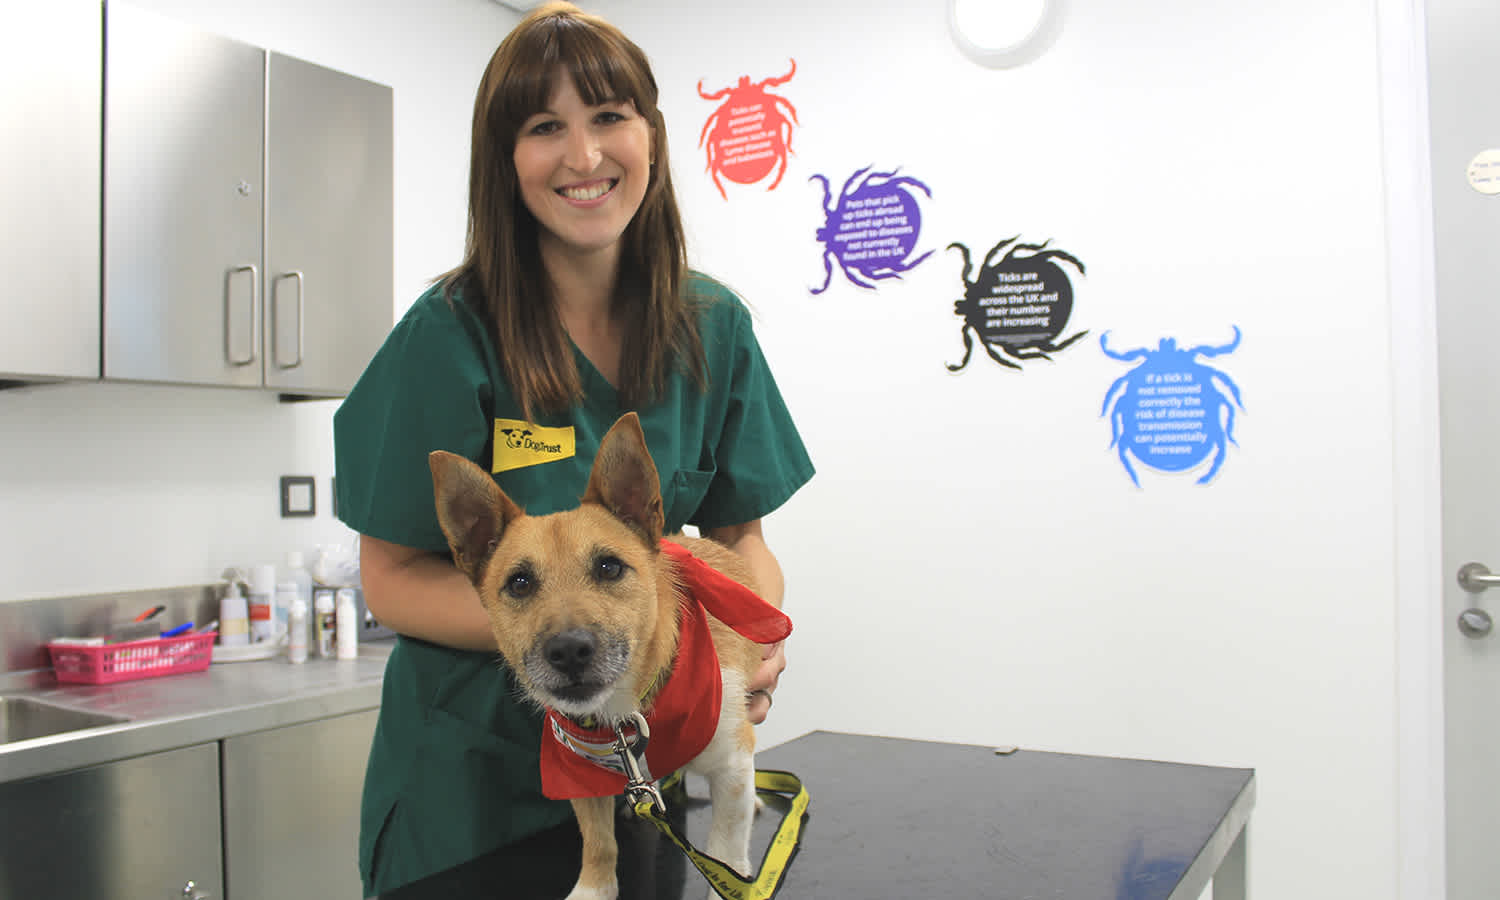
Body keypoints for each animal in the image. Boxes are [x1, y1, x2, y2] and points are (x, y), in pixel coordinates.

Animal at [432, 414, 792, 900]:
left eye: (609, 567)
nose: (568, 650)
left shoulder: (732, 761)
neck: (627, 712)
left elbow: (725, 850)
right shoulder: (577, 775)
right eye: (520, 583)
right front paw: (594, 889)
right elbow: (599, 844)